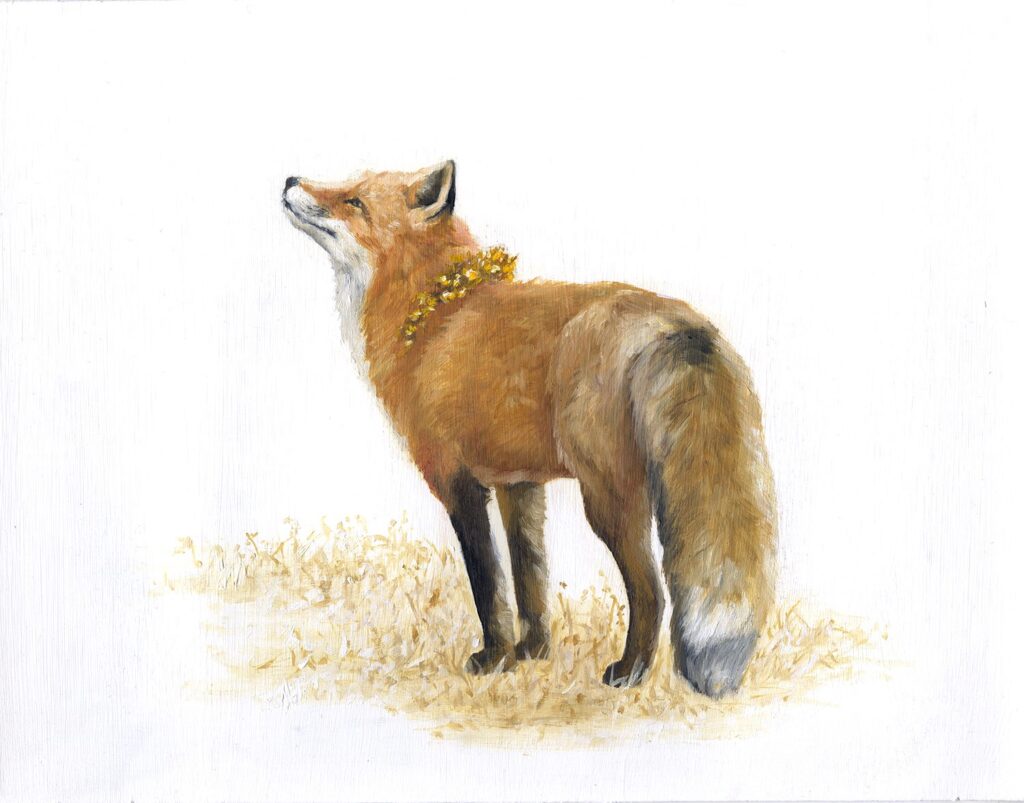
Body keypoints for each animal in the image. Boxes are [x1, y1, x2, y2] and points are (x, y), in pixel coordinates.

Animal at [282, 161, 777, 697]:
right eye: (347, 185)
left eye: (354, 201)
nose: (289, 181)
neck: (435, 314)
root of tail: (677, 325)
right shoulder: (518, 484)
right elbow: (530, 577)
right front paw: (532, 653)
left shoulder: (457, 482)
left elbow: (487, 584)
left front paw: (493, 658)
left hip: (608, 498)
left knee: (652, 591)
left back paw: (629, 673)